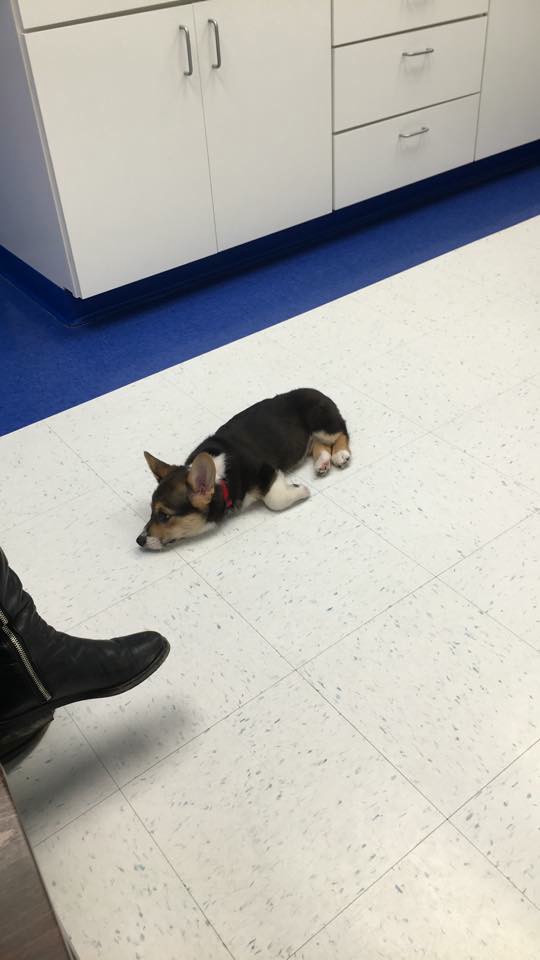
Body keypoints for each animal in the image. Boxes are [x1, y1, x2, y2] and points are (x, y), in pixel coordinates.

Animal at [137, 386, 352, 552]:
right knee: (319, 445)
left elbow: (274, 500)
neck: (221, 477)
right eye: (151, 512)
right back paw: (322, 462)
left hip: (321, 423)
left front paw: (301, 490)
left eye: (164, 516)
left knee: (341, 432)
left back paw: (340, 454)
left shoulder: (267, 471)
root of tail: (315, 390)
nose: (139, 540)